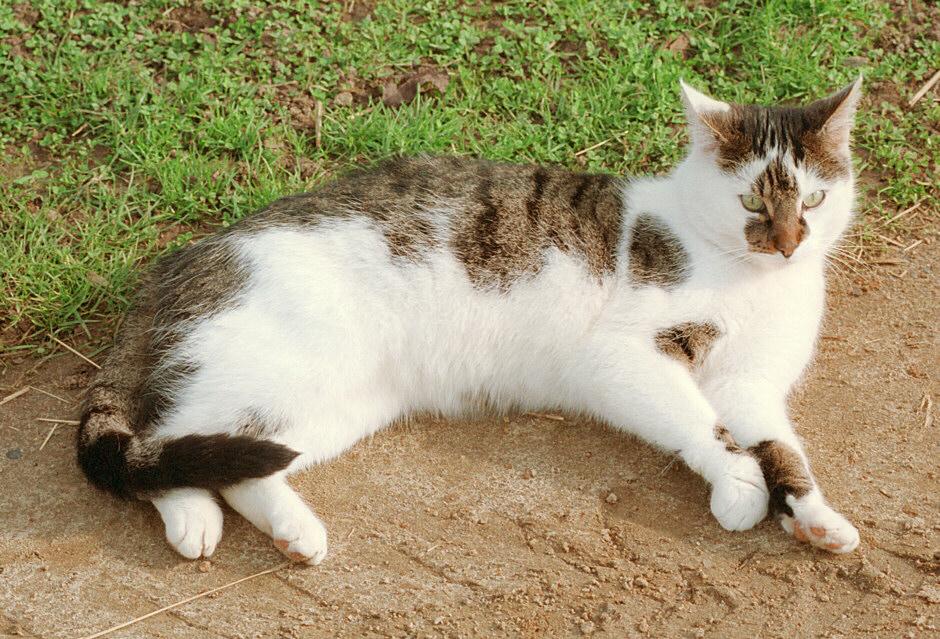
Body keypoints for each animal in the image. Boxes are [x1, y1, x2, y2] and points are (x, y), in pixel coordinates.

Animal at [77, 80, 864, 564]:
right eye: (753, 203)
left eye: (814, 201)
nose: (789, 243)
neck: (753, 280)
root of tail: (186, 255)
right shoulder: (623, 357)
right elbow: (704, 424)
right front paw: (738, 483)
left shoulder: (750, 385)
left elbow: (782, 446)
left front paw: (816, 517)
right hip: (284, 361)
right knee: (164, 434)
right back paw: (191, 514)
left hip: (327, 409)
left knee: (238, 461)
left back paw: (292, 531)